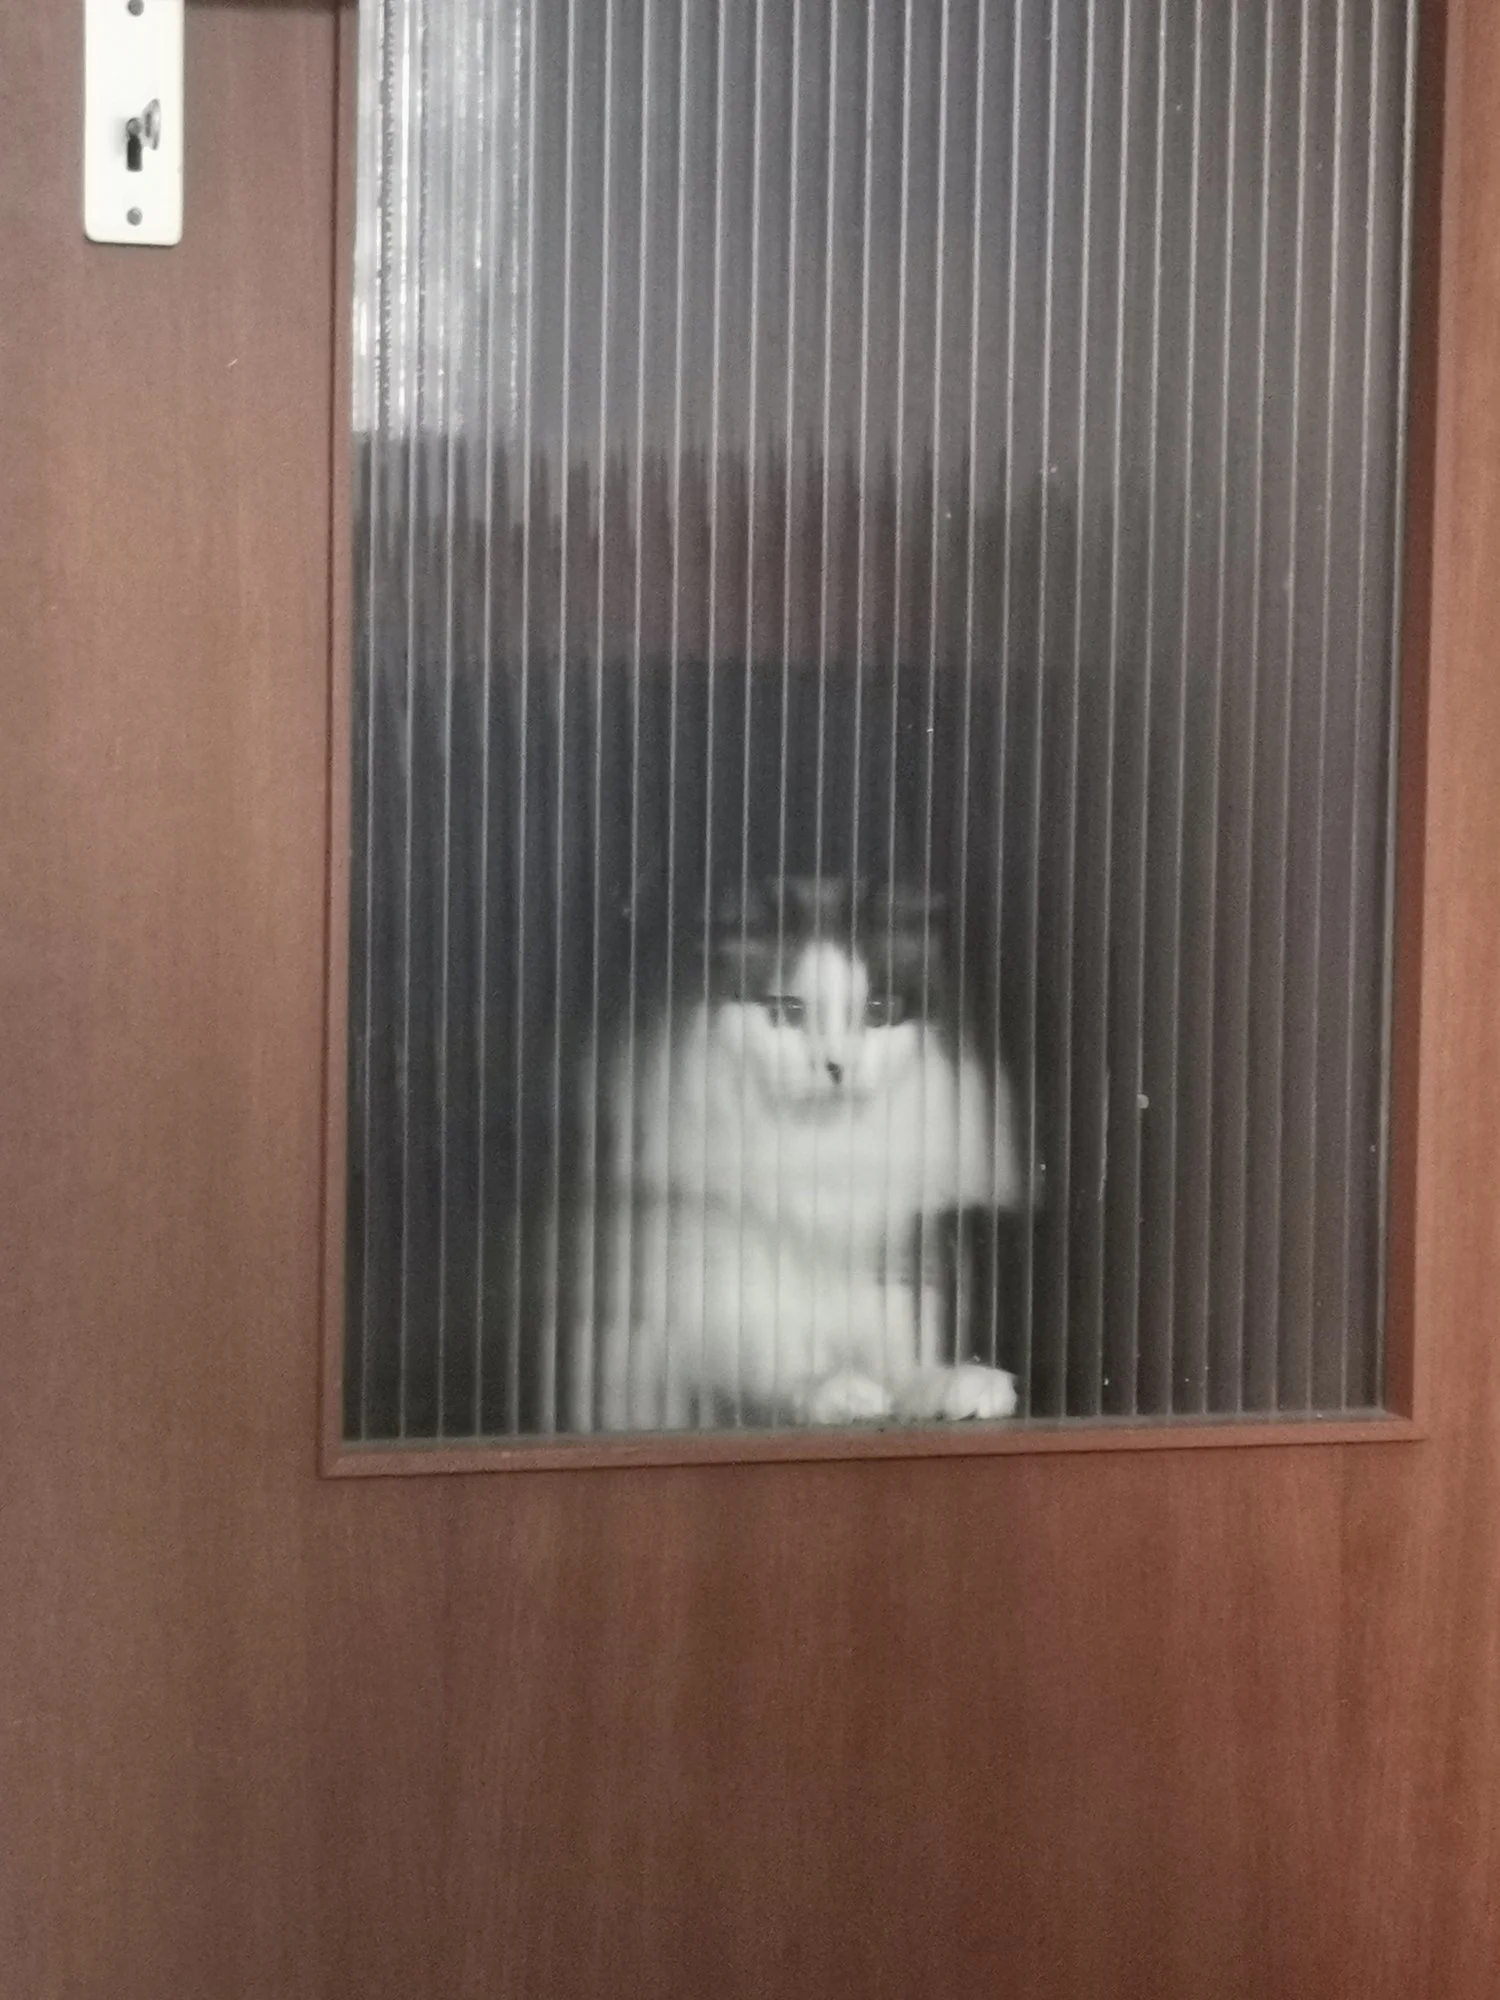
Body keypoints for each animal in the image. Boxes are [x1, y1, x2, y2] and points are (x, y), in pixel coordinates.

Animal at [566, 875, 1022, 1433]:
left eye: (878, 1011)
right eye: (788, 1011)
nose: (836, 1067)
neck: (821, 1160)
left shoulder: (894, 1258)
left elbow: (903, 1354)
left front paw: (952, 1385)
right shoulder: (713, 1273)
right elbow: (775, 1355)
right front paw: (834, 1390)